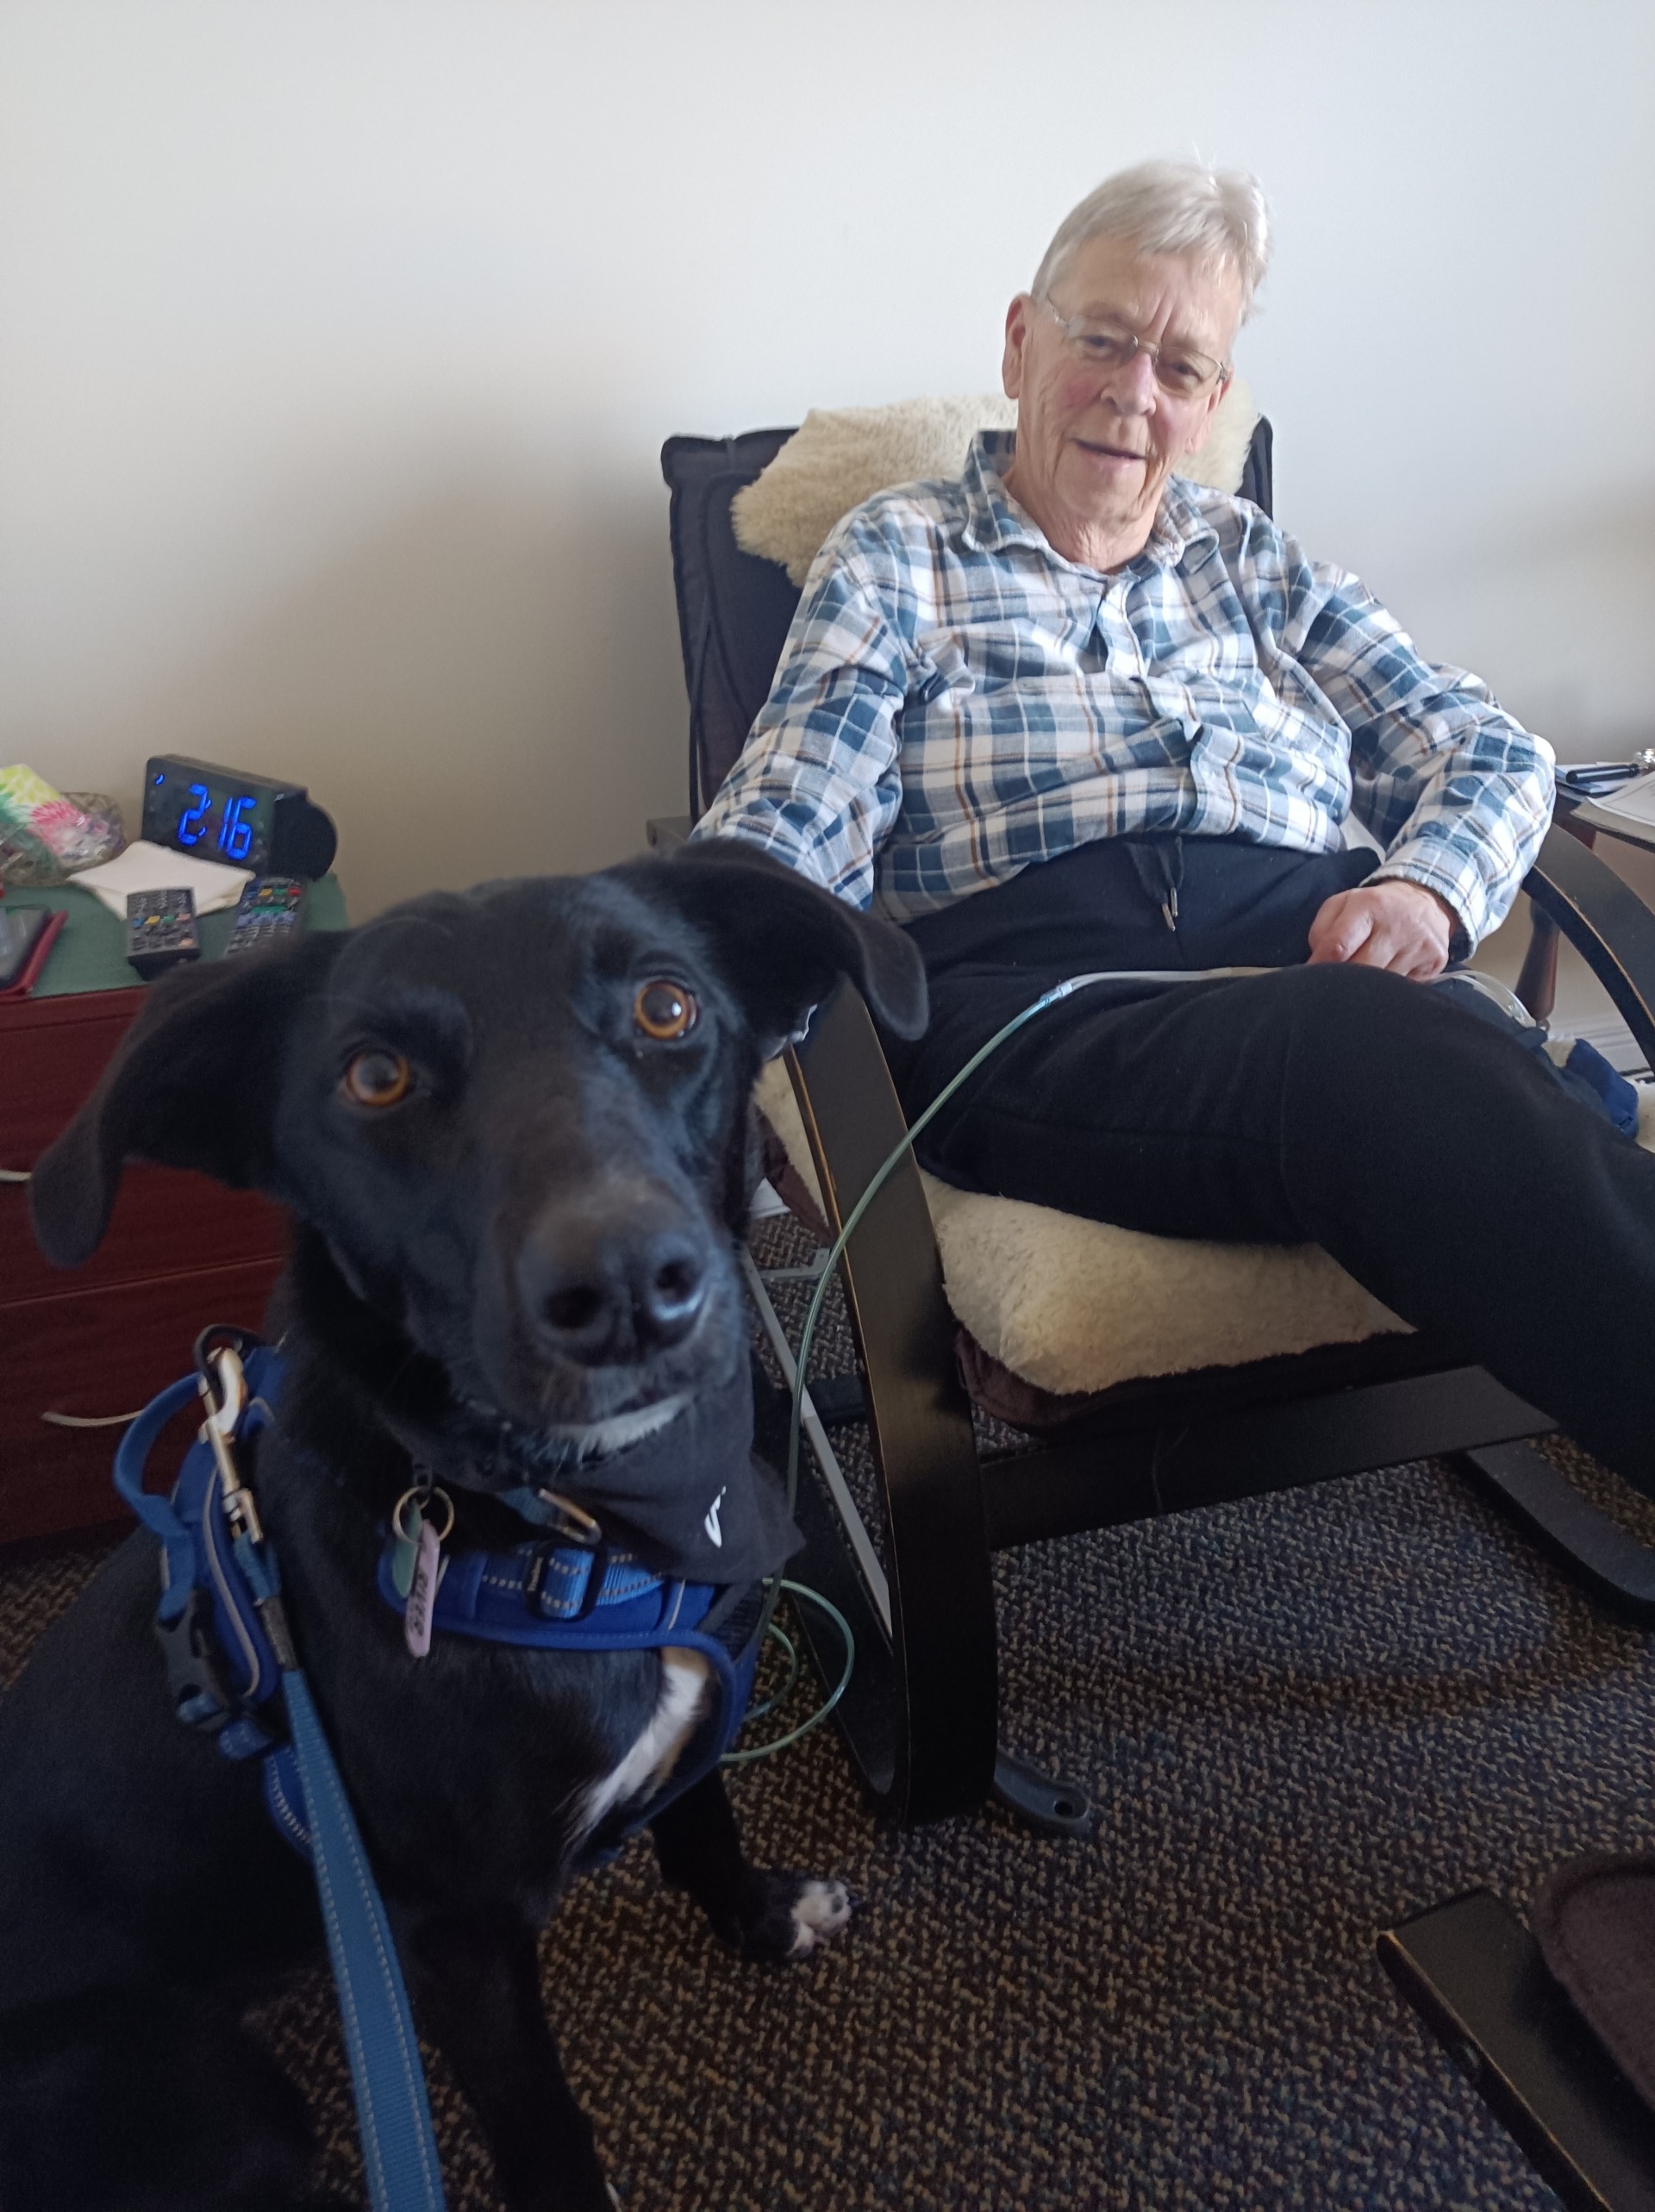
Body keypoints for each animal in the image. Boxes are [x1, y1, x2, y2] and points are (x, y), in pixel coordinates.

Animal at [0, 845, 929, 2212]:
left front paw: (760, 1919)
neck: (583, 1532)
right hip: (201, 2100)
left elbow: (701, 1827)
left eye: (668, 1006)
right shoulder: (455, 1942)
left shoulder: (697, 1715)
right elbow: (542, 2122)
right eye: (374, 1075)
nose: (629, 1288)